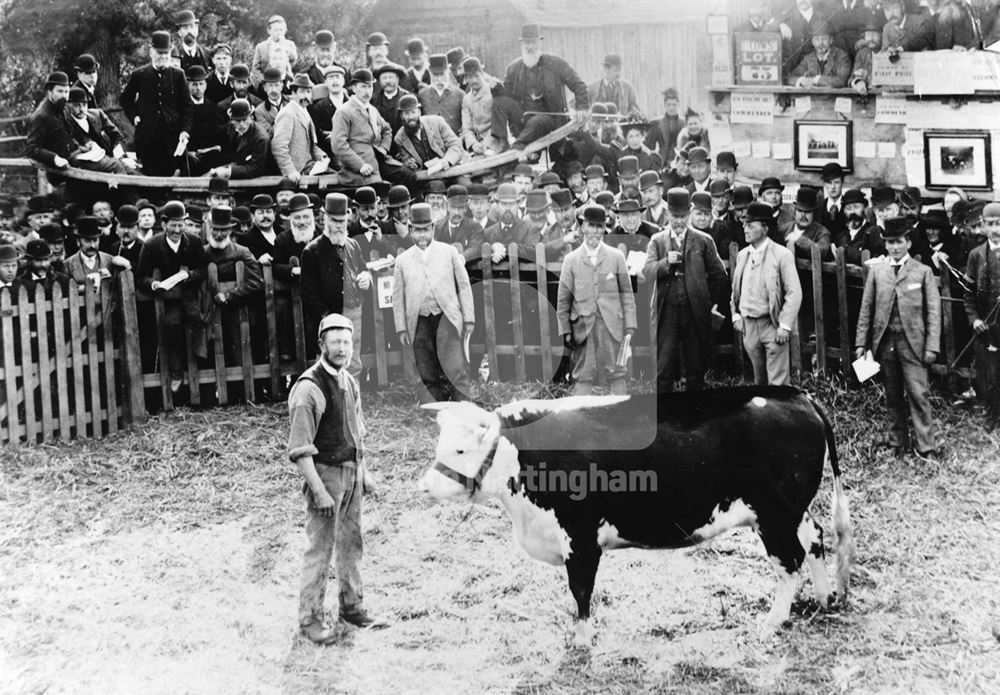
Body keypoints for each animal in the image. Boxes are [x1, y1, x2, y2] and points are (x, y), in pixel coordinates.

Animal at [418, 386, 856, 648]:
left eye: (460, 450)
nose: (424, 486)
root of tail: (797, 395)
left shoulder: (580, 539)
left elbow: (581, 591)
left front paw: (582, 641)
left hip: (774, 515)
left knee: (790, 561)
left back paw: (774, 620)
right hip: (792, 511)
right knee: (815, 538)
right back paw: (823, 599)